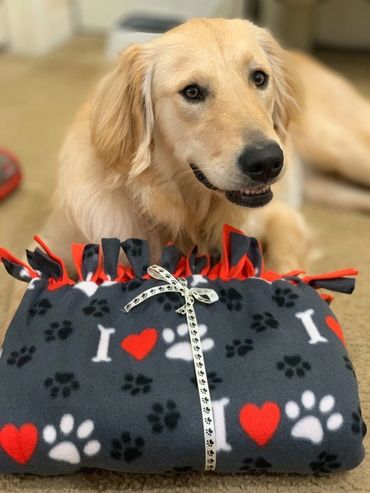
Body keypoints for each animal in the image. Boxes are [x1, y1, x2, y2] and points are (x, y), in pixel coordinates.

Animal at [2, 18, 370, 334]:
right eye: (192, 92)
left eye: (259, 78)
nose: (268, 161)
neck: (177, 208)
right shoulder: (48, 247)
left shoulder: (280, 216)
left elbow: (284, 262)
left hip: (340, 149)